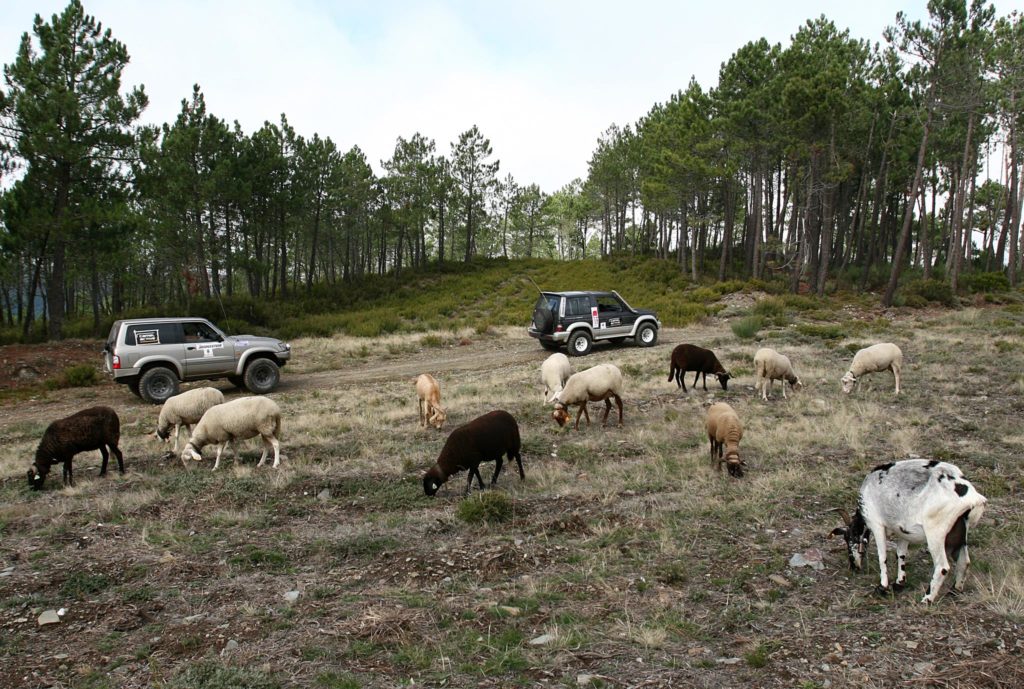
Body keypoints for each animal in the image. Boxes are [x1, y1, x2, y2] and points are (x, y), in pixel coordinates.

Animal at [827, 462, 987, 601]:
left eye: (849, 537)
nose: (853, 567)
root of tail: (972, 497)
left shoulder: (876, 525)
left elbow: (882, 557)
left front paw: (882, 587)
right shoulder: (903, 531)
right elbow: (900, 554)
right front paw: (899, 583)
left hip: (936, 534)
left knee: (942, 567)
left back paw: (927, 599)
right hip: (958, 534)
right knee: (964, 561)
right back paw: (954, 590)